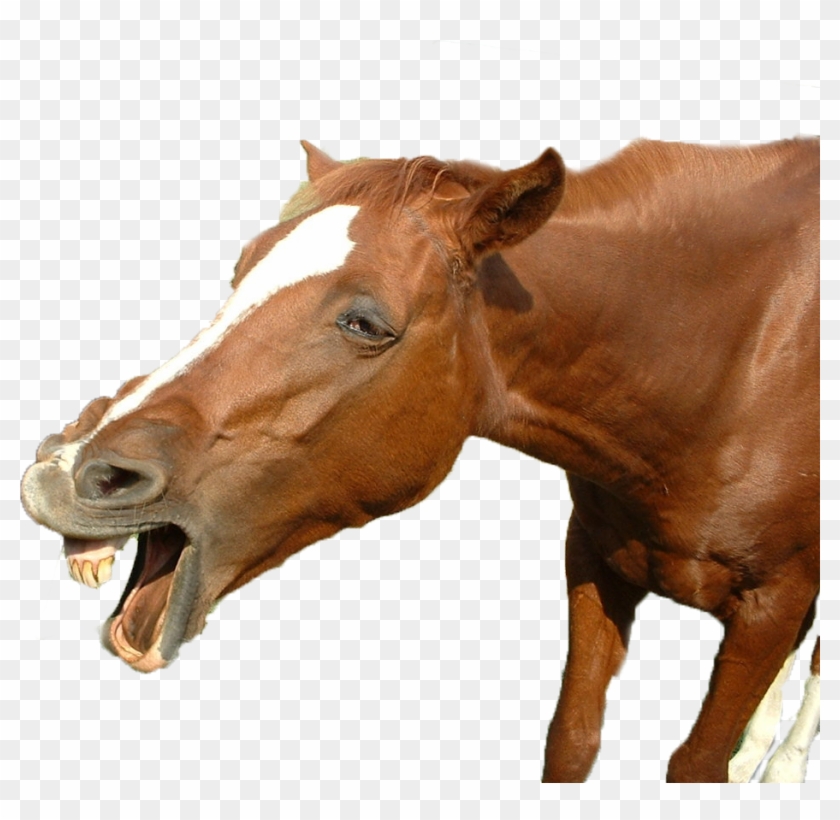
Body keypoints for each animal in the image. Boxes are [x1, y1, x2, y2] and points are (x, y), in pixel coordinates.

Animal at [21, 138, 820, 782]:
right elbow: (572, 741)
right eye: (239, 270)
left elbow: (697, 763)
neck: (726, 365)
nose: (65, 470)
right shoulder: (598, 562)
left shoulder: (771, 605)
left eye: (365, 322)